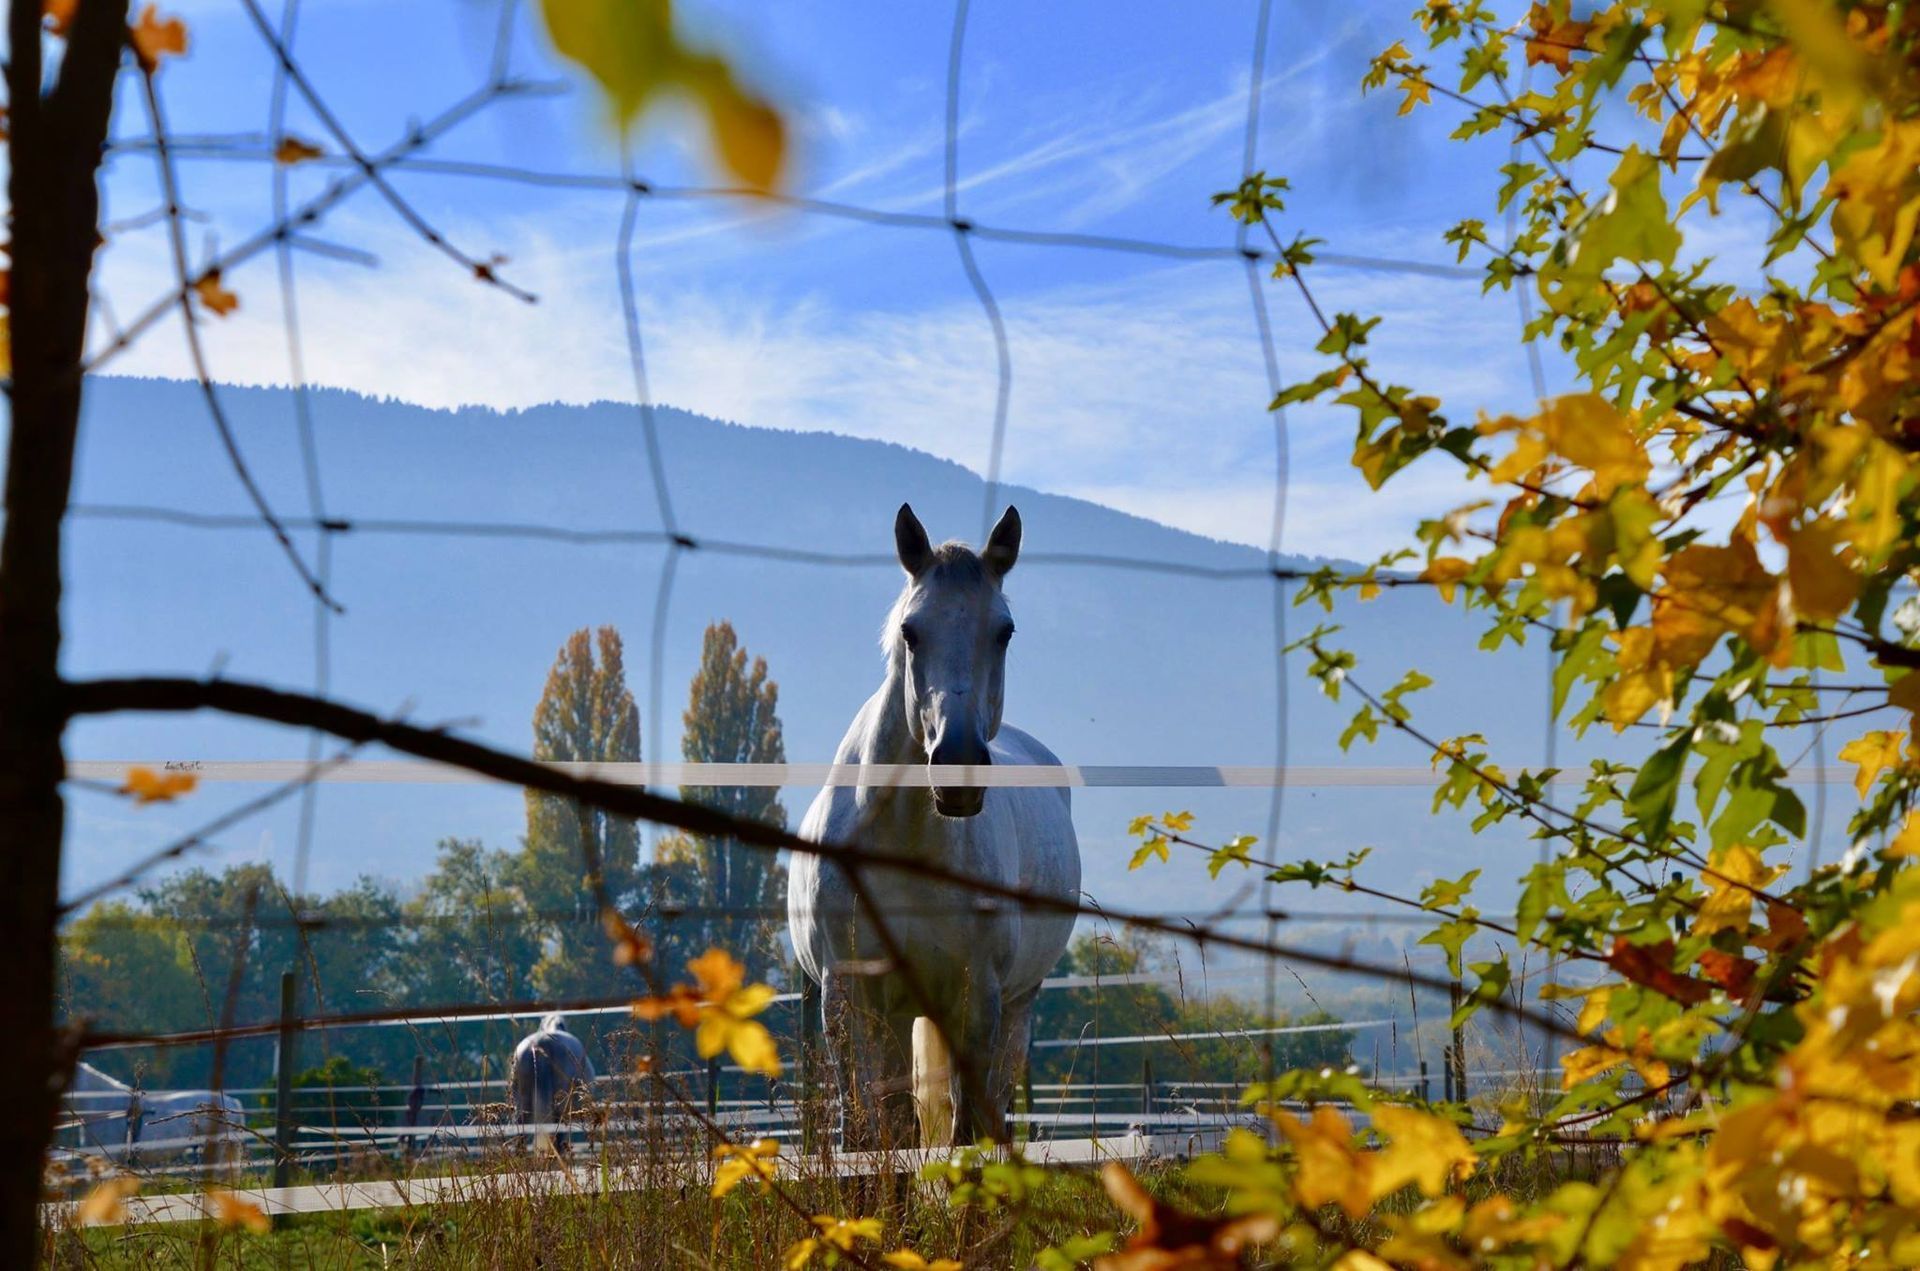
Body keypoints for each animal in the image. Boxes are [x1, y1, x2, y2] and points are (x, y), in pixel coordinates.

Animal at [788, 503, 1081, 1148]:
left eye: (1004, 631)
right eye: (910, 631)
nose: (958, 765)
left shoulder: (978, 1002)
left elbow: (966, 1134)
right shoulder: (849, 1000)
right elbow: (870, 1135)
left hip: (1015, 1008)